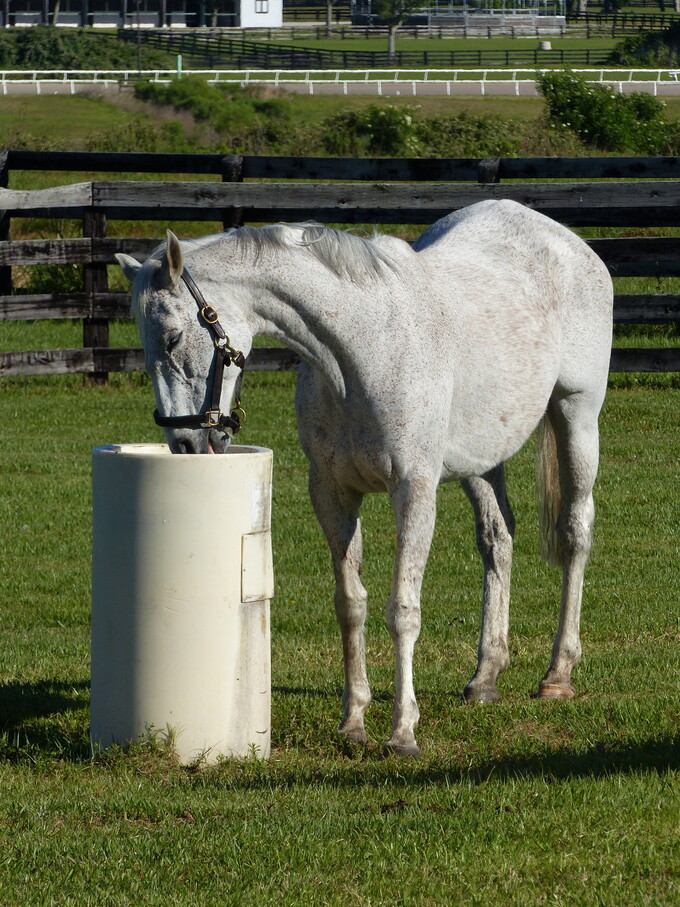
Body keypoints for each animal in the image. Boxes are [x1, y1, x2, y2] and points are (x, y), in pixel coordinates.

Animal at [118, 200, 616, 760]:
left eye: (173, 337)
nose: (184, 443)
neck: (362, 348)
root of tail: (566, 241)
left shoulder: (414, 491)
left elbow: (403, 608)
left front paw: (403, 731)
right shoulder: (333, 494)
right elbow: (349, 604)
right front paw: (354, 722)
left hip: (577, 416)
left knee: (575, 532)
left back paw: (558, 673)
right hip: (482, 457)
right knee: (497, 538)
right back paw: (485, 675)